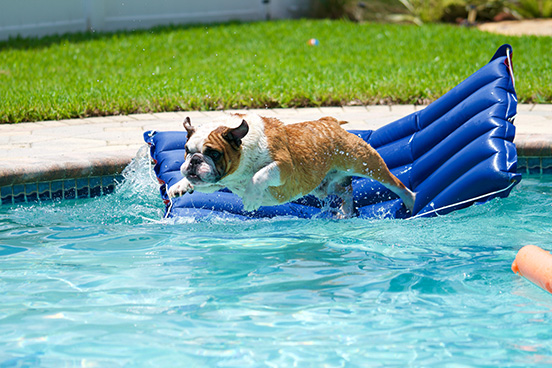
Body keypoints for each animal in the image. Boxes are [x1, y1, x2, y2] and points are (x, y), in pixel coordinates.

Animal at [166, 113, 416, 217]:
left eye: (214, 153)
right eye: (187, 150)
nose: (194, 161)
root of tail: (330, 121)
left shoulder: (284, 166)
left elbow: (259, 176)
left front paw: (252, 197)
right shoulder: (218, 181)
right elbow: (203, 184)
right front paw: (180, 185)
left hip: (365, 162)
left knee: (395, 183)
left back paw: (411, 200)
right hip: (328, 184)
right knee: (346, 191)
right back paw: (345, 212)